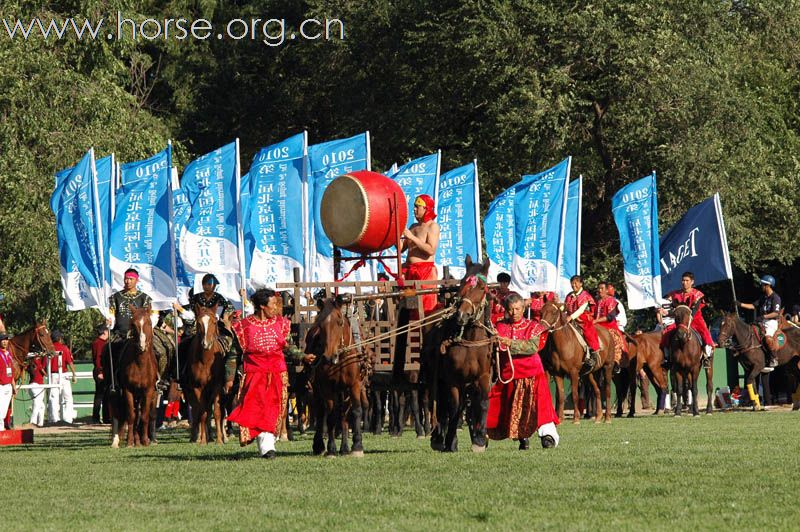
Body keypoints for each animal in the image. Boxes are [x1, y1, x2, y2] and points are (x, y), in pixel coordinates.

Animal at [110, 306, 159, 446]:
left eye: (149, 323)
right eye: (133, 324)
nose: (141, 345)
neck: (140, 365)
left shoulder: (148, 391)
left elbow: (144, 416)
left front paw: (145, 440)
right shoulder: (128, 390)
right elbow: (131, 416)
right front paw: (130, 442)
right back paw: (118, 441)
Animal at [182, 304, 227, 444]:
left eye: (214, 322)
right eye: (199, 323)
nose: (205, 344)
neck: (206, 360)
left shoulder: (217, 387)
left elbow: (217, 412)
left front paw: (219, 440)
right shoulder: (198, 388)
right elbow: (202, 413)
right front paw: (202, 441)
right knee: (198, 411)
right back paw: (198, 437)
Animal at [308, 298, 370, 456]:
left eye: (340, 322)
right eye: (320, 324)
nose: (329, 357)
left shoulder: (354, 385)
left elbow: (356, 411)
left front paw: (357, 446)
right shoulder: (327, 387)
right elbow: (330, 416)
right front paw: (331, 449)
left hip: (344, 392)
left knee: (343, 414)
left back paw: (345, 447)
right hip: (318, 389)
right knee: (321, 412)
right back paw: (319, 445)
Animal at [424, 258, 494, 454]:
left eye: (481, 287)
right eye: (462, 283)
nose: (461, 314)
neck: (471, 342)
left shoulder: (483, 377)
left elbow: (483, 403)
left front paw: (479, 439)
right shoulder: (454, 379)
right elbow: (454, 407)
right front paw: (451, 440)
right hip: (435, 377)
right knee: (439, 402)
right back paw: (438, 438)